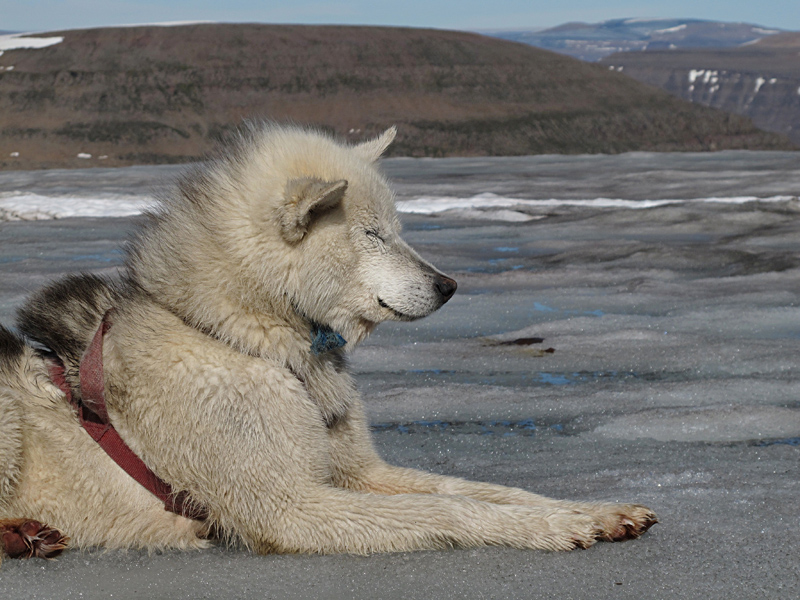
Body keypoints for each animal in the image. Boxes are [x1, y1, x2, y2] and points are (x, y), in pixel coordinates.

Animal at [0, 124, 656, 560]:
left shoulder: (360, 472)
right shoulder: (292, 506)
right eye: (372, 234)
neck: (249, 338)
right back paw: (18, 533)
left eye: (397, 230)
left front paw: (589, 512)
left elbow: (485, 490)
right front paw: (550, 531)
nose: (448, 285)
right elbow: (450, 507)